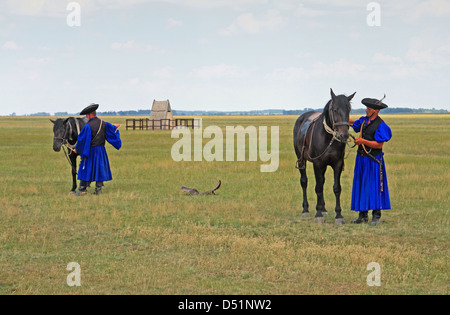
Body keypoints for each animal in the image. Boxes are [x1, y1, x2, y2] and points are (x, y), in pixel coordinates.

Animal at [294, 89, 356, 225]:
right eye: (335, 110)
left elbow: (336, 188)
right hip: (301, 160)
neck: (328, 138)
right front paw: (318, 214)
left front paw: (338, 215)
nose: (344, 135)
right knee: (304, 182)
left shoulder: (337, 164)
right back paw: (305, 209)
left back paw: (323, 208)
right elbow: (318, 187)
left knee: (322, 181)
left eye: (349, 109)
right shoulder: (317, 163)